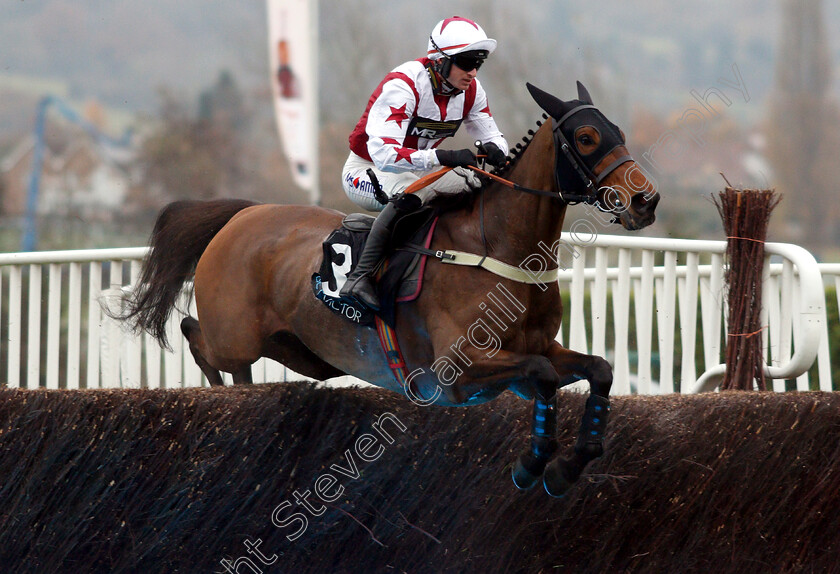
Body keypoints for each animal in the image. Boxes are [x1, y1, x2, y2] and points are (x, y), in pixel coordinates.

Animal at [120, 83, 656, 498]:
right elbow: (542, 374)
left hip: (302, 351)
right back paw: (224, 394)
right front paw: (533, 464)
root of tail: (243, 214)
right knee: (196, 335)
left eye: (621, 132)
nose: (645, 201)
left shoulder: (535, 353)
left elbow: (598, 369)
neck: (496, 246)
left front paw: (564, 469)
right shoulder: (455, 372)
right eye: (586, 137)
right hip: (236, 336)